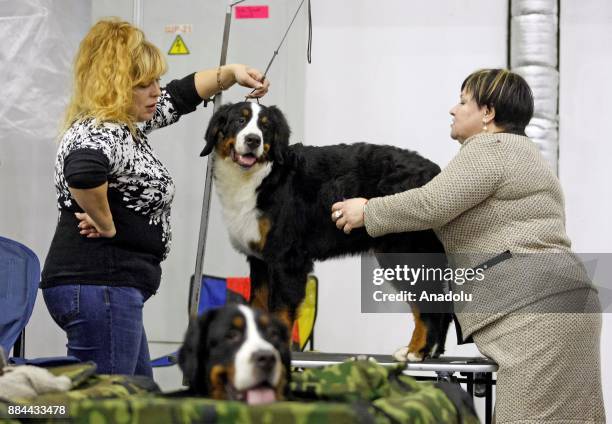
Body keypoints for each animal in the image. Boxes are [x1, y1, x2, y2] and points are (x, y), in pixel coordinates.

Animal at [198, 101, 452, 360]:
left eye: (265, 126)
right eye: (240, 120)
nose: (253, 140)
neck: (262, 177)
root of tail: (436, 171)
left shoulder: (286, 257)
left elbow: (280, 310)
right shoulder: (259, 260)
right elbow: (258, 306)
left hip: (405, 253)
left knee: (430, 304)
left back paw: (416, 351)